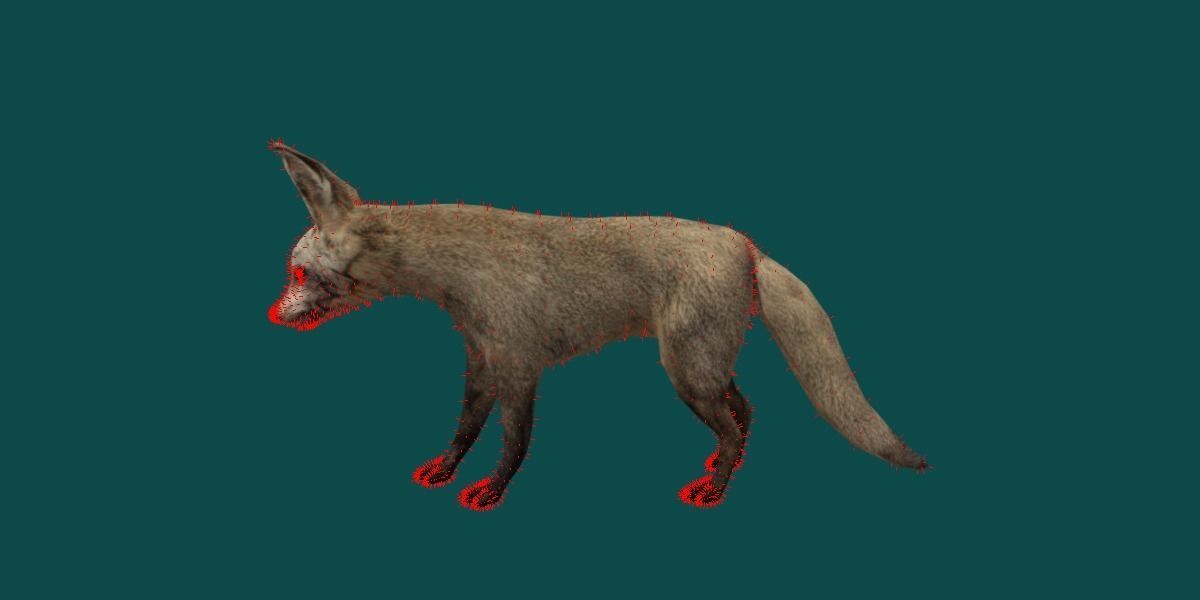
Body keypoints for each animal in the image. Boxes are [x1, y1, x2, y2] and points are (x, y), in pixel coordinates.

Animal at [265, 140, 927, 511]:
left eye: (298, 272)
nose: (274, 314)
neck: (459, 273)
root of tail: (746, 245)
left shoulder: (520, 368)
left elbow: (513, 443)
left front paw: (492, 492)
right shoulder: (481, 359)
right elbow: (464, 428)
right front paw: (445, 470)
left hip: (686, 371)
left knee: (735, 423)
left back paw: (715, 490)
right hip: (705, 366)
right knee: (747, 412)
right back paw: (721, 470)